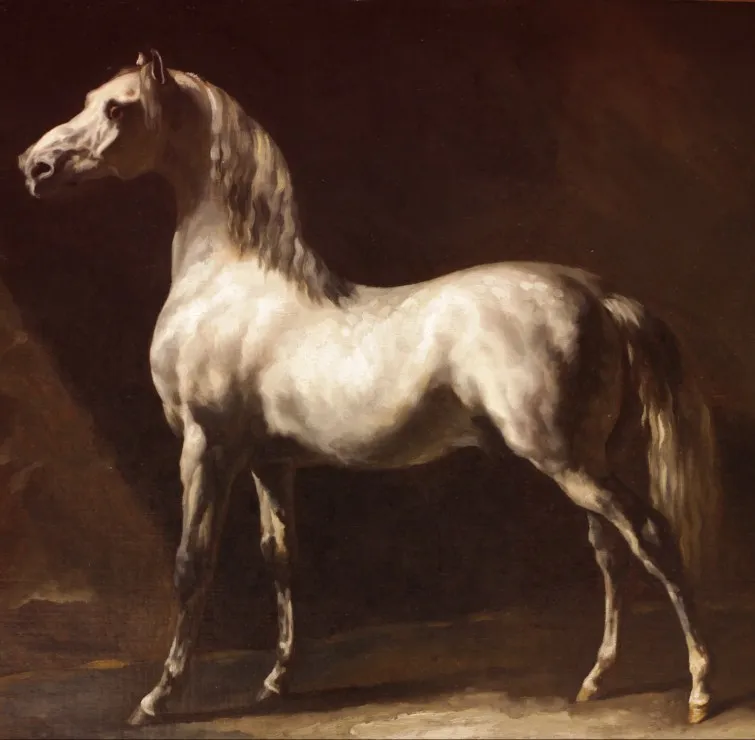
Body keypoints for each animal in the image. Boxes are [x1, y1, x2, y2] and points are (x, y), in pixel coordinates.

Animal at [18, 50, 723, 727]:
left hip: (568, 461)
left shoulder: (206, 450)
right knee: (610, 553)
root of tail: (601, 295)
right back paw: (596, 680)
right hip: (584, 462)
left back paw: (698, 689)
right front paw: (275, 682)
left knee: (652, 538)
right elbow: (282, 559)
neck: (228, 282)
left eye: (118, 107)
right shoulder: (270, 464)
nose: (34, 166)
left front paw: (156, 699)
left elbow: (191, 567)